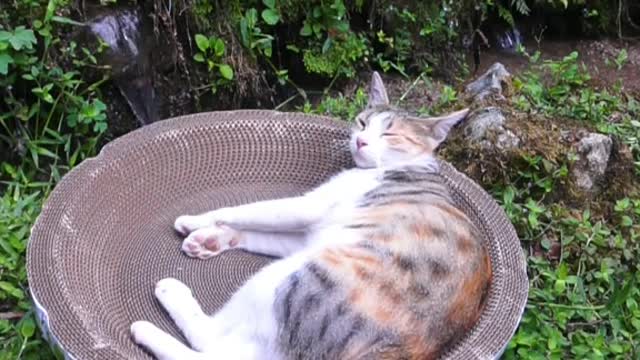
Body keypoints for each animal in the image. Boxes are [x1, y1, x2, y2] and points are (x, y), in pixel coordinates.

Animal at [129, 71, 490, 358]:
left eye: (389, 134)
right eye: (362, 122)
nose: (361, 141)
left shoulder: (308, 207)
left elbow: (248, 211)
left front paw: (196, 220)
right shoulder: (307, 235)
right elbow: (259, 231)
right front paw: (211, 238)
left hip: (290, 278)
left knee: (213, 344)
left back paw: (162, 305)